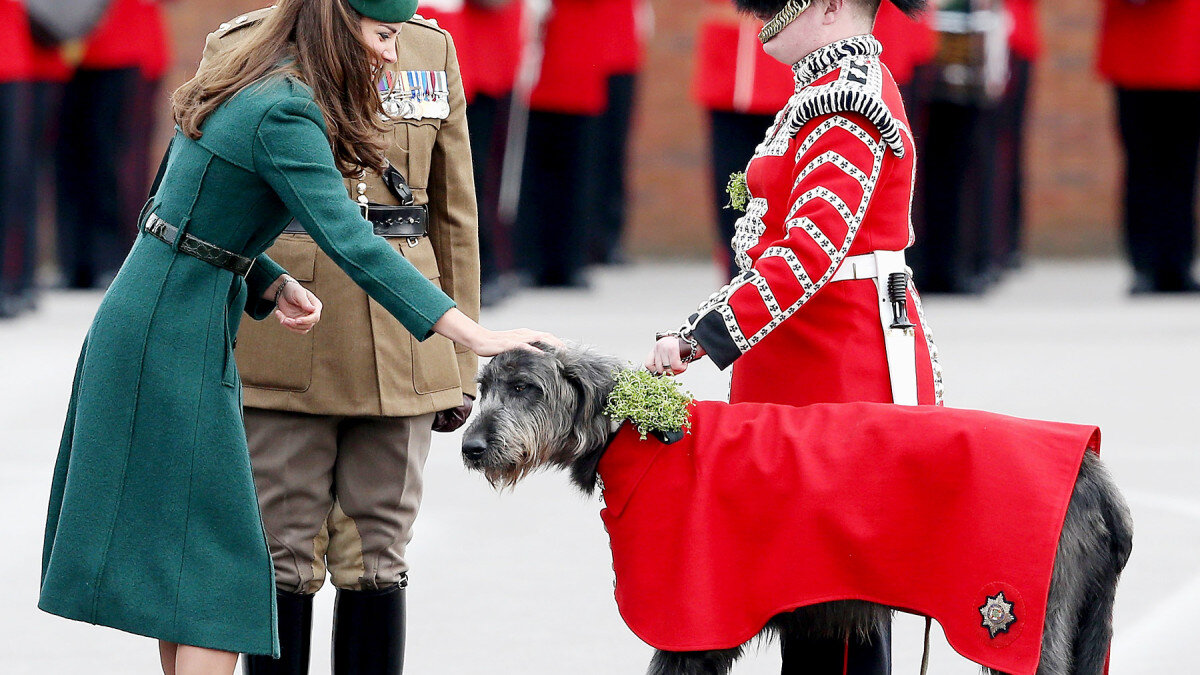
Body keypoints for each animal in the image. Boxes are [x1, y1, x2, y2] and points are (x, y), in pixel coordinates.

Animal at [460, 343, 1132, 667]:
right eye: (484, 387)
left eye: (526, 388)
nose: (469, 447)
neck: (641, 433)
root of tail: (1092, 469)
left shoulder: (692, 628)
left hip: (1019, 625)